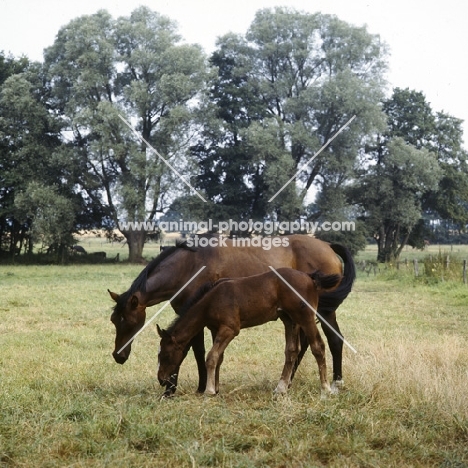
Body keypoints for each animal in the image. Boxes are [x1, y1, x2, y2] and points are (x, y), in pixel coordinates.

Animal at [157, 268, 340, 396]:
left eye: (164, 355)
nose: (161, 379)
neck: (211, 300)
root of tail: (310, 277)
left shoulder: (230, 329)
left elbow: (212, 356)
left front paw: (209, 390)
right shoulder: (215, 329)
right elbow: (219, 358)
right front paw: (216, 388)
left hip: (306, 317)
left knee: (318, 346)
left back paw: (325, 388)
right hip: (290, 320)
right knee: (292, 351)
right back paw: (281, 388)